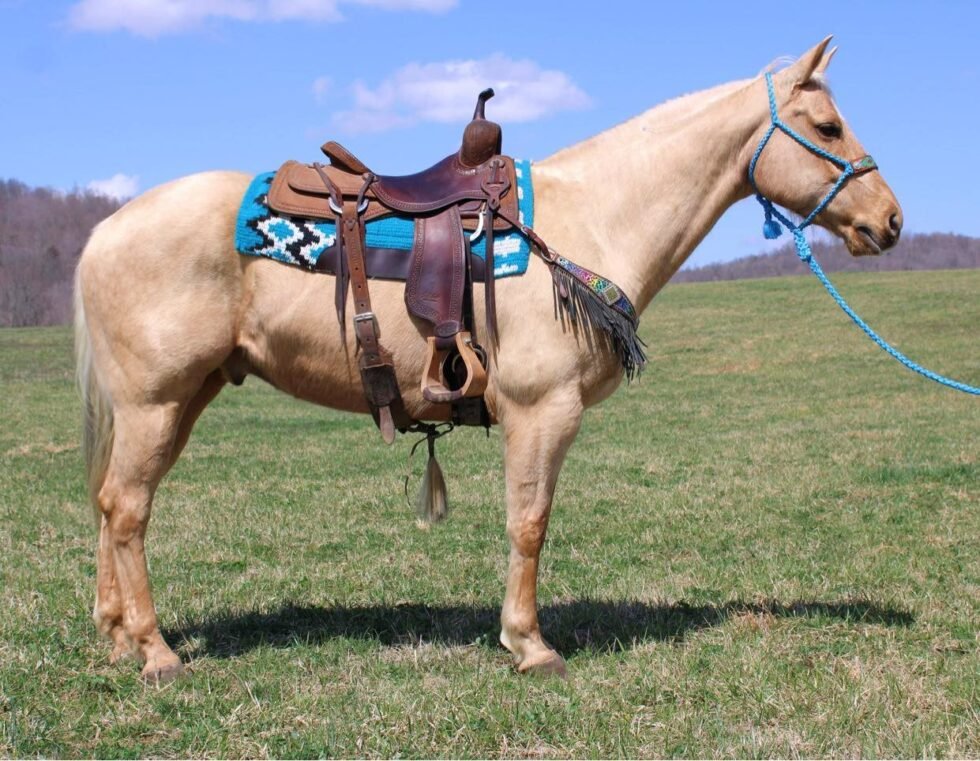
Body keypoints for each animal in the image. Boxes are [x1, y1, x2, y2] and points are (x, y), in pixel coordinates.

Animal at [74, 37, 902, 683]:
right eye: (827, 124)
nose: (889, 220)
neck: (593, 216)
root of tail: (108, 229)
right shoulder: (543, 411)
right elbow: (529, 522)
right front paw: (529, 644)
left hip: (183, 399)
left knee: (113, 503)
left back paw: (117, 637)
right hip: (156, 402)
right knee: (129, 508)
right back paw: (155, 652)